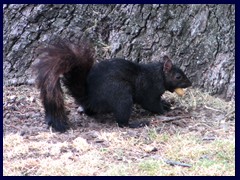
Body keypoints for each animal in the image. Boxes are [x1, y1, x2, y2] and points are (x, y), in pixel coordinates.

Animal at [33, 39, 191, 132]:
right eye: (178, 76)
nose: (190, 83)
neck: (157, 74)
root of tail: (90, 98)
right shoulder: (149, 91)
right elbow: (151, 104)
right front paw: (165, 111)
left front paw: (166, 104)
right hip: (122, 94)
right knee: (121, 122)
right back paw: (136, 123)